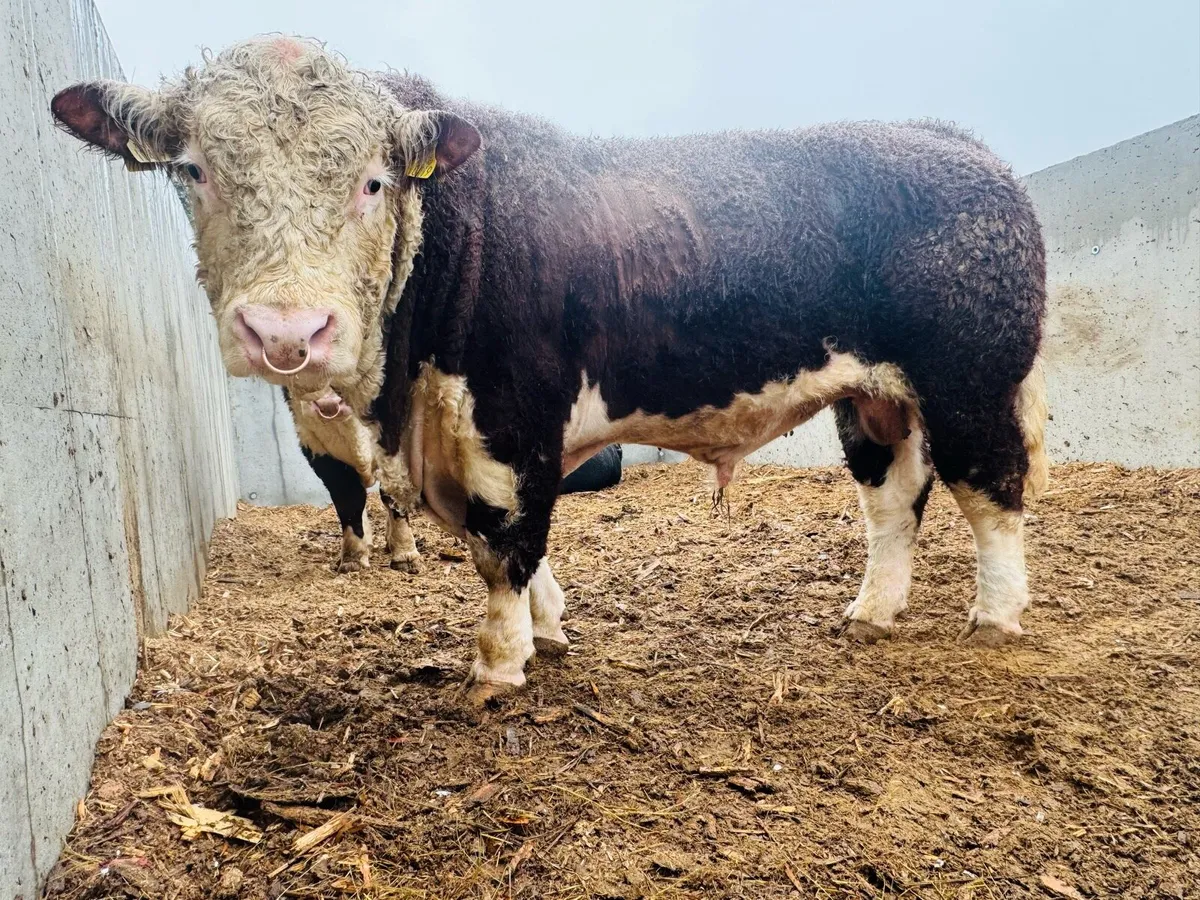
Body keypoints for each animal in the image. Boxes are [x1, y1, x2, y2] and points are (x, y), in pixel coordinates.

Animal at [52, 37, 1049, 705]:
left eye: (374, 180)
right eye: (193, 170)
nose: (286, 330)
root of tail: (959, 144)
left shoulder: (510, 416)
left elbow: (502, 542)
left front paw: (498, 666)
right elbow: (509, 546)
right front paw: (549, 626)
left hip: (973, 378)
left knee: (990, 489)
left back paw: (997, 617)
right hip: (873, 397)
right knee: (893, 498)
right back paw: (872, 611)